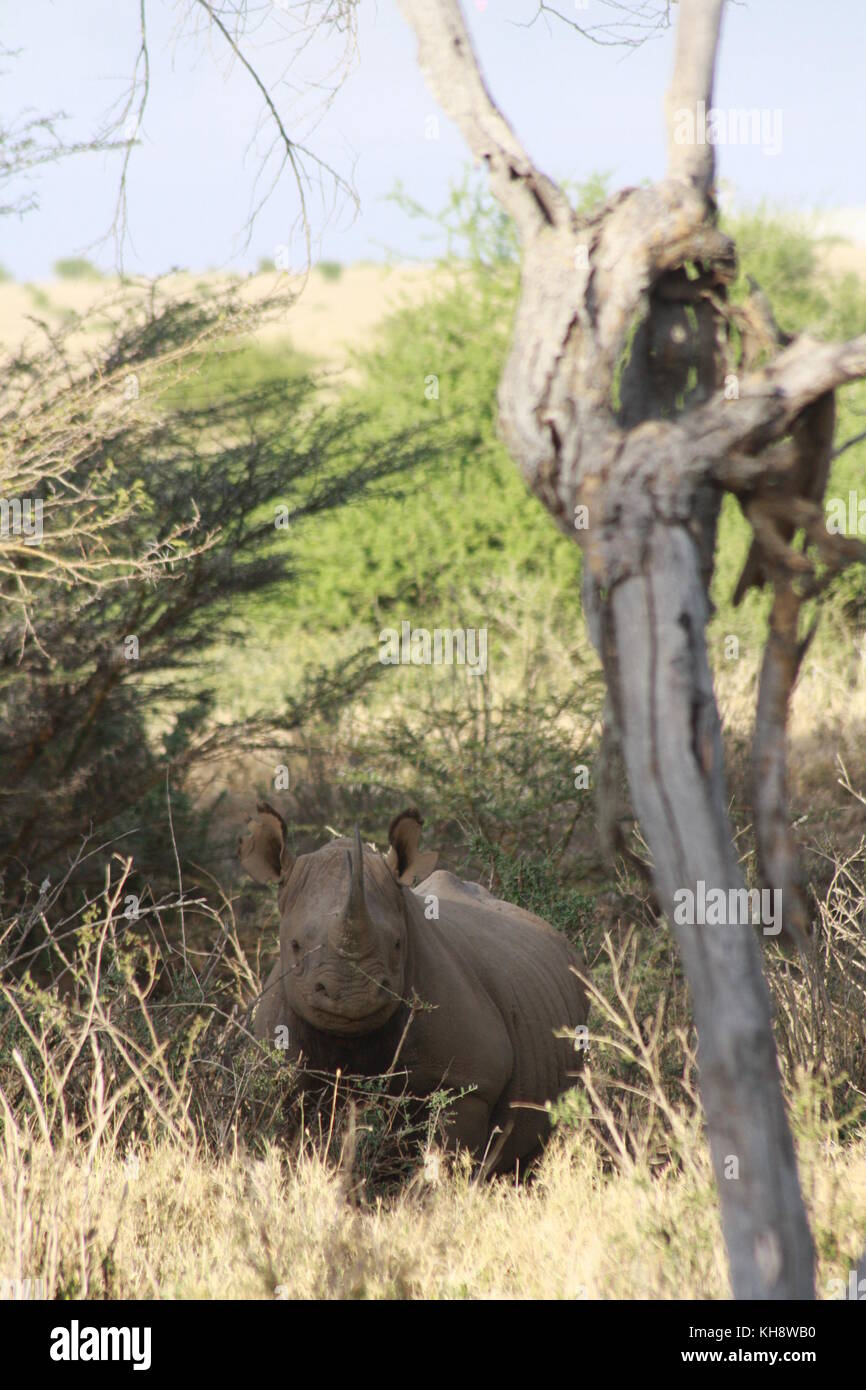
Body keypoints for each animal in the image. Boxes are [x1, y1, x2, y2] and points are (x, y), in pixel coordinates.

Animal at [237, 806, 589, 1173]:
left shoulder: (469, 1083)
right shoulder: (282, 1076)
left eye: (396, 944)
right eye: (294, 946)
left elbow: (446, 1160)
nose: (352, 994)